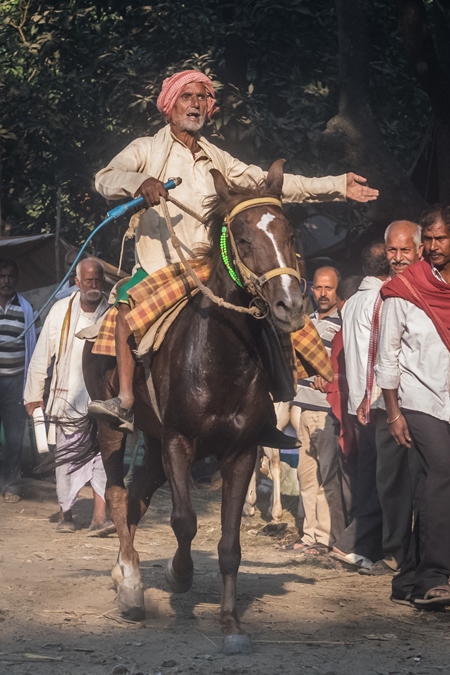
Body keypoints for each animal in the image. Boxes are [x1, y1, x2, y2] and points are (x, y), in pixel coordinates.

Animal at [82, 160, 304, 656]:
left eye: (290, 232)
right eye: (242, 238)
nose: (290, 305)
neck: (222, 358)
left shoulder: (240, 452)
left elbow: (230, 545)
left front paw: (231, 623)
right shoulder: (179, 441)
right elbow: (184, 522)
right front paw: (178, 574)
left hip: (153, 437)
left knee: (138, 496)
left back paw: (125, 572)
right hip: (115, 428)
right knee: (120, 494)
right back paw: (130, 586)